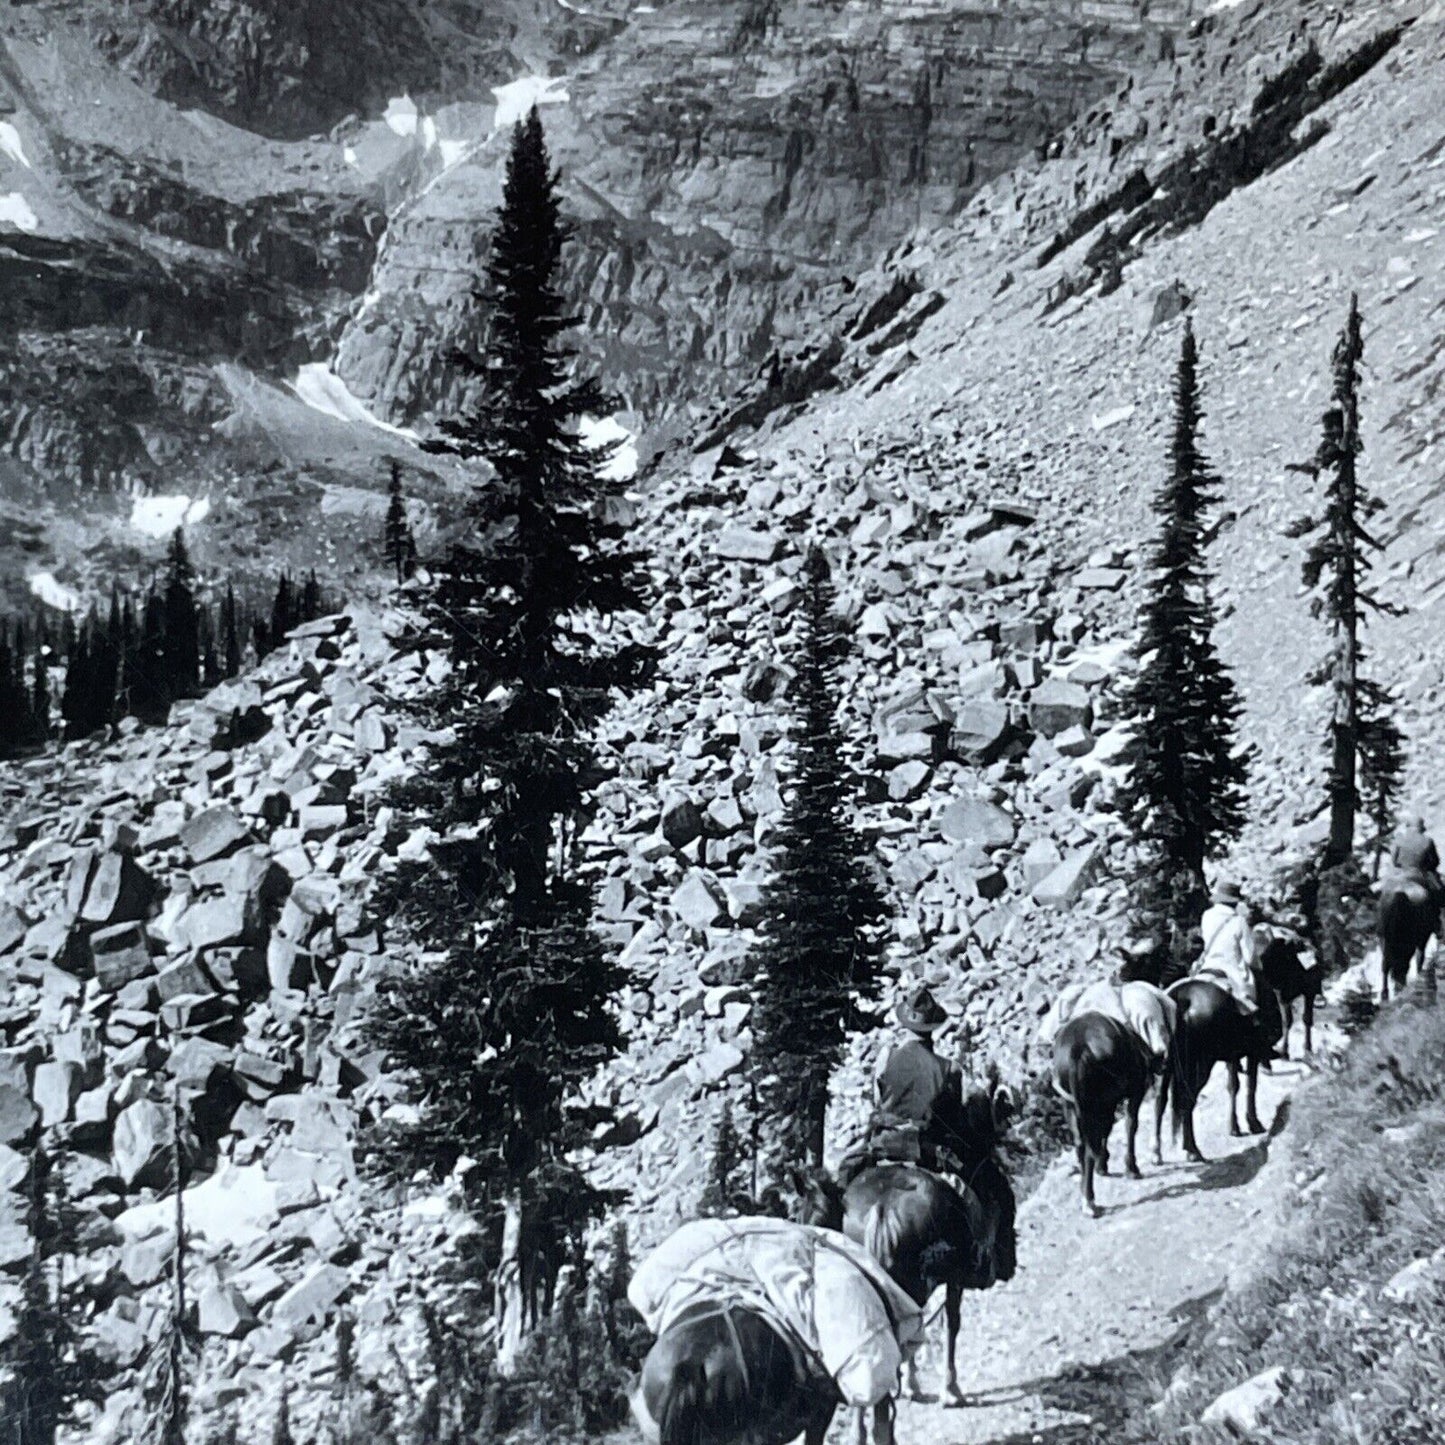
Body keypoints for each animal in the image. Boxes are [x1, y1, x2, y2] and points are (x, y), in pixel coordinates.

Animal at [1051, 1017, 1150, 1219]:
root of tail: (1078, 1049)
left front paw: (1103, 1164)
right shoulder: (1135, 1091)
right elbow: (1130, 1124)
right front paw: (1131, 1168)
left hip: (1072, 1104)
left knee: (1082, 1144)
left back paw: (1086, 1196)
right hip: (1098, 1102)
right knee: (1092, 1144)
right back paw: (1090, 1200)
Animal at [1156, 971, 1283, 1161]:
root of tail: (1181, 998)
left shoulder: (1233, 1055)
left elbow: (1233, 1086)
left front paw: (1235, 1127)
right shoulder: (1251, 1051)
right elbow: (1250, 1085)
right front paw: (1253, 1123)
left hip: (1168, 1066)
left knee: (1161, 1099)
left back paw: (1157, 1152)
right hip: (1201, 1064)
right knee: (1186, 1100)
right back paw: (1192, 1149)